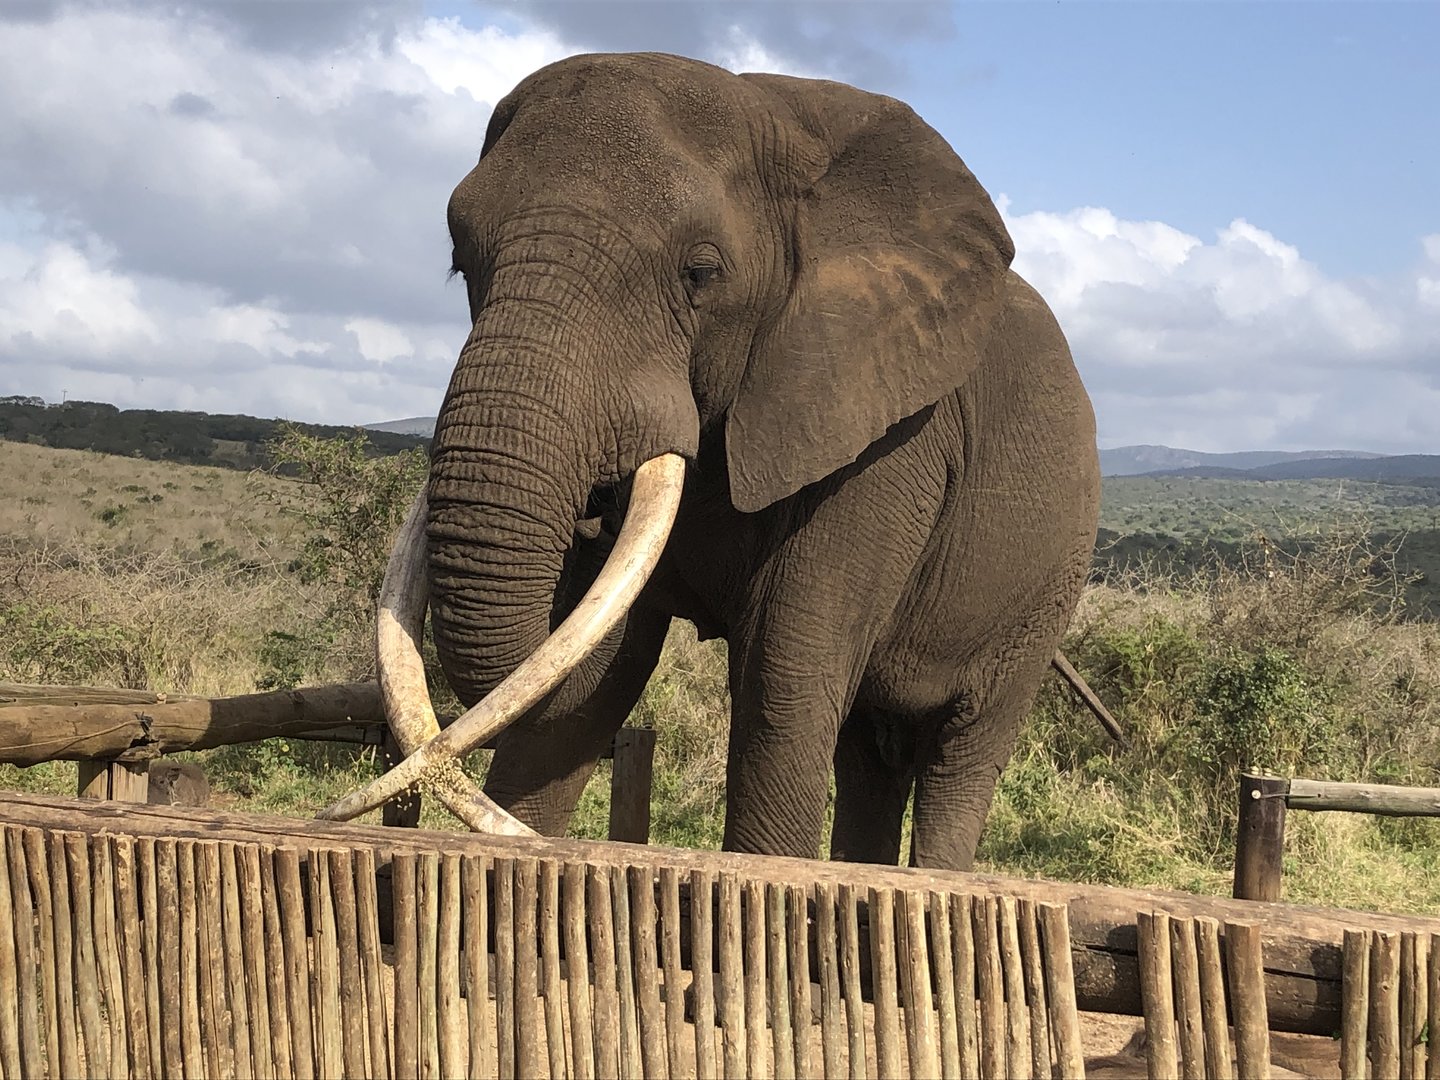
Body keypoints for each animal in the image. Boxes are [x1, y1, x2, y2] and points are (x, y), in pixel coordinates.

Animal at [322, 51, 1102, 871]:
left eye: (700, 273)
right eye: (459, 260)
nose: (594, 511)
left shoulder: (890, 436)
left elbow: (782, 679)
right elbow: (599, 675)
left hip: (1043, 595)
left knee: (961, 751)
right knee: (868, 752)